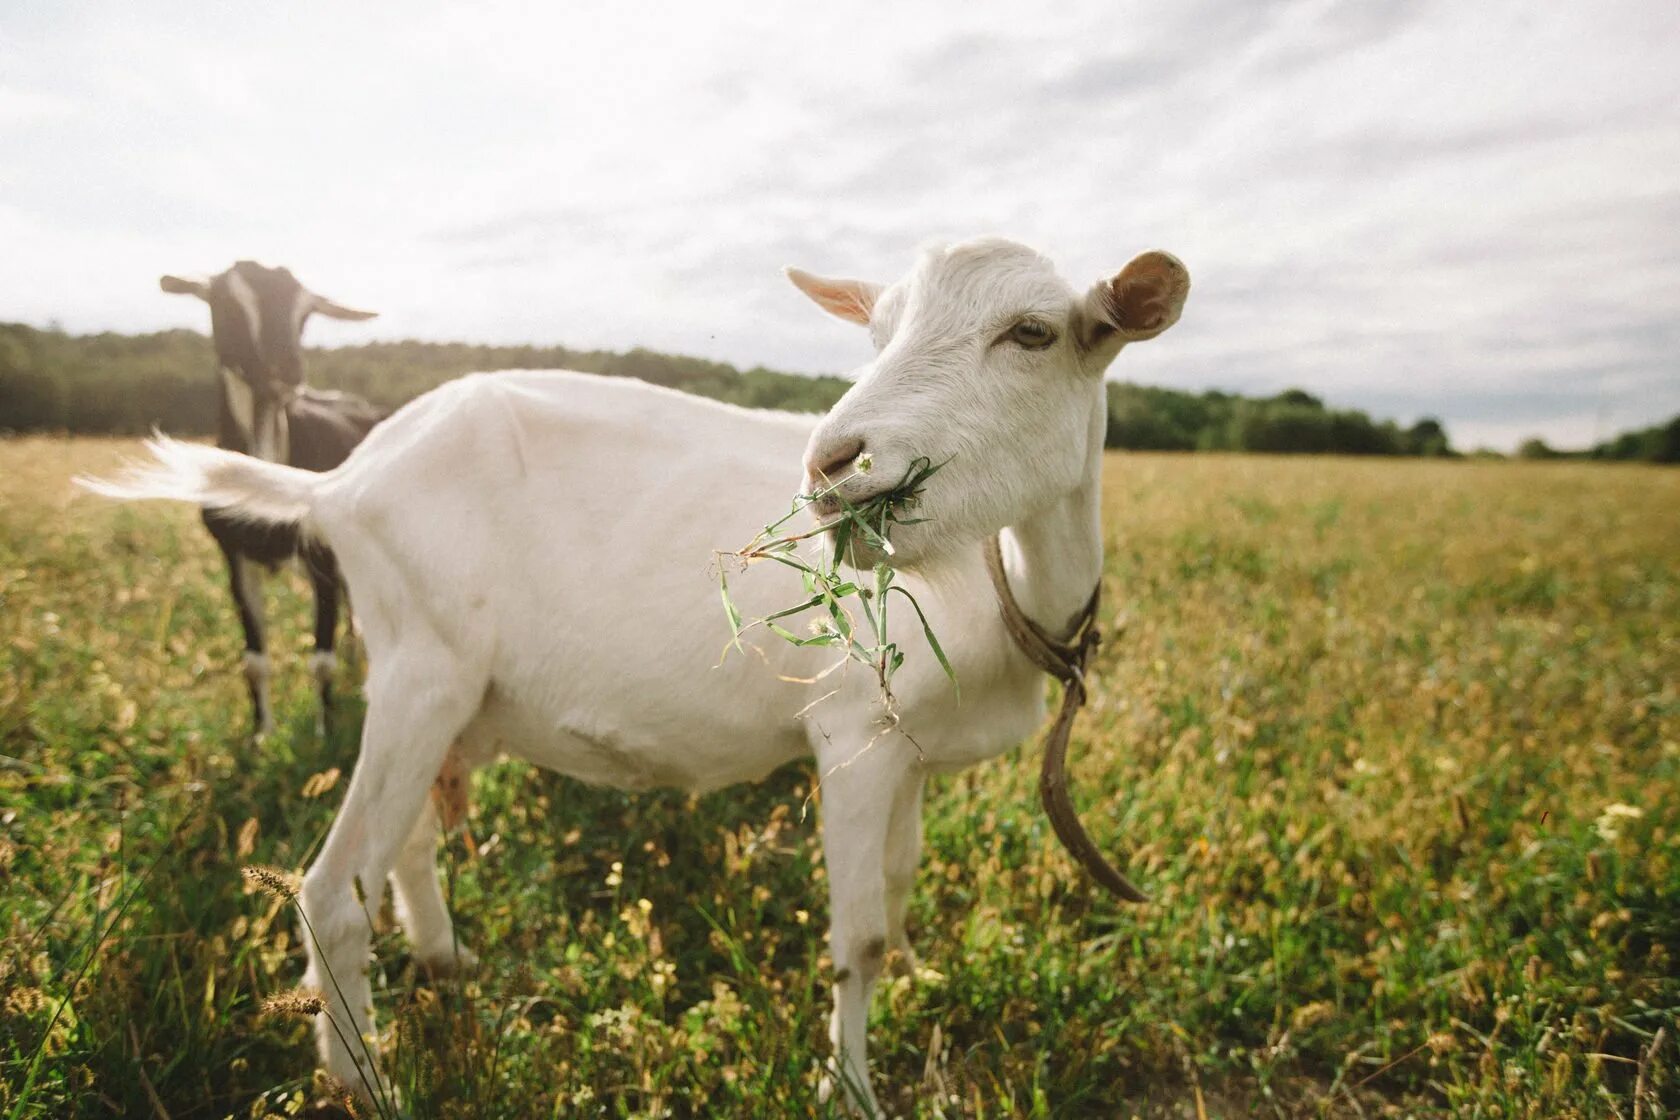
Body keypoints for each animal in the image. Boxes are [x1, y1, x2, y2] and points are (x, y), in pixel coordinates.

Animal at [91, 238, 1189, 1114]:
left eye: (1034, 333)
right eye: (875, 333)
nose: (834, 464)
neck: (1004, 586)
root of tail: (341, 482)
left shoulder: (908, 749)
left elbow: (901, 881)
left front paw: (917, 986)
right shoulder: (852, 736)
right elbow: (859, 936)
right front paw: (852, 1088)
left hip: (434, 683)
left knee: (403, 847)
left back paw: (446, 962)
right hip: (420, 665)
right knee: (330, 890)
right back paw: (369, 1084)